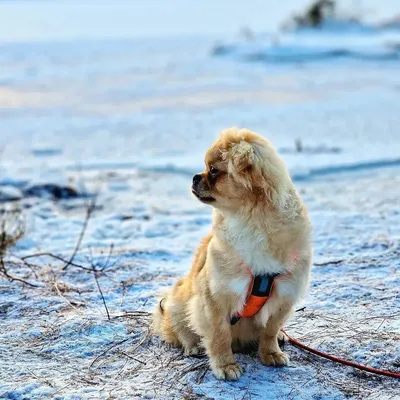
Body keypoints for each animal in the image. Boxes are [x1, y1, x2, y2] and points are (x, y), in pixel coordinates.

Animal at [153, 128, 312, 382]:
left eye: (213, 170)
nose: (195, 177)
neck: (252, 222)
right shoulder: (215, 299)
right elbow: (220, 337)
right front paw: (225, 366)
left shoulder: (285, 296)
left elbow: (270, 330)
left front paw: (271, 353)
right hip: (178, 303)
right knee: (181, 329)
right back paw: (193, 347)